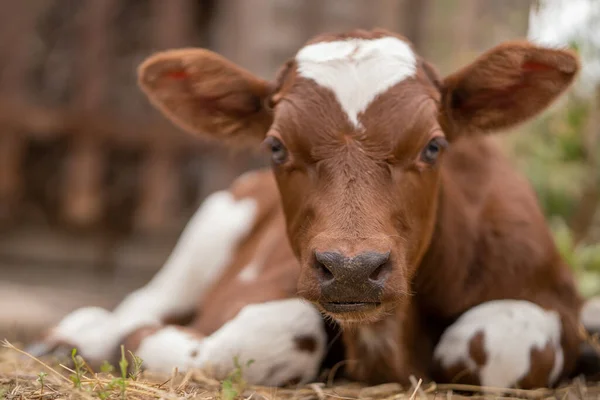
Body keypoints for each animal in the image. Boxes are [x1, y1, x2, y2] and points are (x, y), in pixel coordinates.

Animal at [31, 28, 600, 390]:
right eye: (276, 146)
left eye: (434, 146)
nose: (352, 270)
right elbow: (276, 332)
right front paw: (133, 344)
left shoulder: (550, 302)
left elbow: (502, 336)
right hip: (213, 224)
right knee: (138, 303)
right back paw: (73, 339)